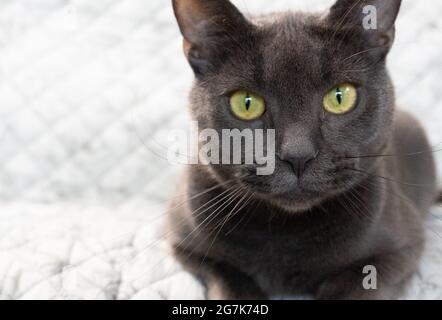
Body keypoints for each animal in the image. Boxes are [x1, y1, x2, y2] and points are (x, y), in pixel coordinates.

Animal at [167, 0, 440, 300]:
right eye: (246, 103)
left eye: (340, 97)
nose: (298, 156)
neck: (285, 231)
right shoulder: (184, 242)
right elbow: (229, 283)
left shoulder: (401, 250)